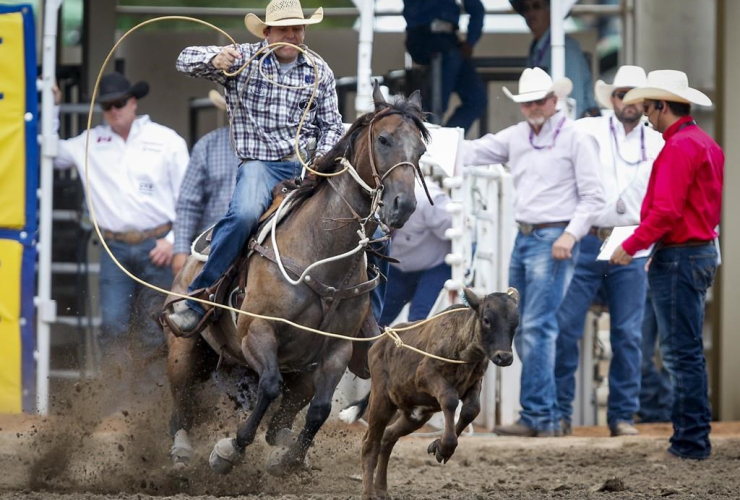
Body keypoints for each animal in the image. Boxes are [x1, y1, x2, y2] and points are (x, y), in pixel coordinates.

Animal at [162, 86, 428, 476]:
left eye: (420, 150)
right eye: (383, 139)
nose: (403, 206)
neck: (318, 252)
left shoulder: (336, 349)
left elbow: (320, 409)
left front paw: (290, 460)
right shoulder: (257, 330)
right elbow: (270, 387)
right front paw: (229, 450)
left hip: (297, 368)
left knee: (288, 410)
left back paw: (282, 441)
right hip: (185, 349)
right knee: (181, 398)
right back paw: (181, 451)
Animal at [342, 286, 520, 500]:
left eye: (516, 322)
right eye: (486, 319)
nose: (504, 357)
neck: (463, 350)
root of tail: (379, 342)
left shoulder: (475, 383)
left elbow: (472, 410)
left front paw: (439, 447)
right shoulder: (426, 375)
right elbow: (450, 400)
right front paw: (445, 446)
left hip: (415, 415)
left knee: (388, 437)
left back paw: (382, 489)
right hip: (381, 401)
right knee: (370, 443)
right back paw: (369, 493)